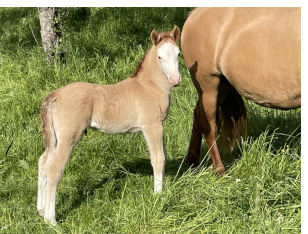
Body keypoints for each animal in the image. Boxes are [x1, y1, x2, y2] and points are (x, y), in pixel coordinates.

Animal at [36, 25, 180, 225]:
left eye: (178, 54)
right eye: (159, 57)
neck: (148, 87)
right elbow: (158, 158)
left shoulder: (158, 127)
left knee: (43, 163)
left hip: (54, 139)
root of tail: (54, 95)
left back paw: (41, 210)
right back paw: (51, 220)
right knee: (54, 170)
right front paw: (158, 196)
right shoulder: (152, 126)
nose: (175, 80)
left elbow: (163, 155)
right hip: (68, 139)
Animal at [182, 7, 300, 174]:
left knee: (198, 115)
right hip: (209, 85)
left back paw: (192, 162)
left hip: (222, 86)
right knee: (209, 126)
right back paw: (219, 170)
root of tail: (194, 14)